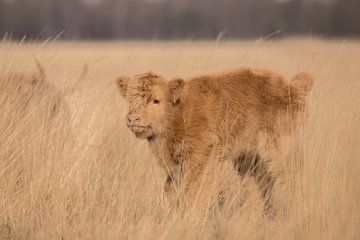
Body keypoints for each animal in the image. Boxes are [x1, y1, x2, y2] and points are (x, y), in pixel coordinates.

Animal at [115, 67, 312, 212]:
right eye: (130, 100)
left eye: (156, 100)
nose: (133, 118)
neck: (177, 113)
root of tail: (289, 86)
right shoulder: (175, 167)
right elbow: (170, 191)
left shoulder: (202, 160)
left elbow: (197, 192)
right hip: (248, 158)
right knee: (259, 183)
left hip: (279, 147)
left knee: (289, 175)